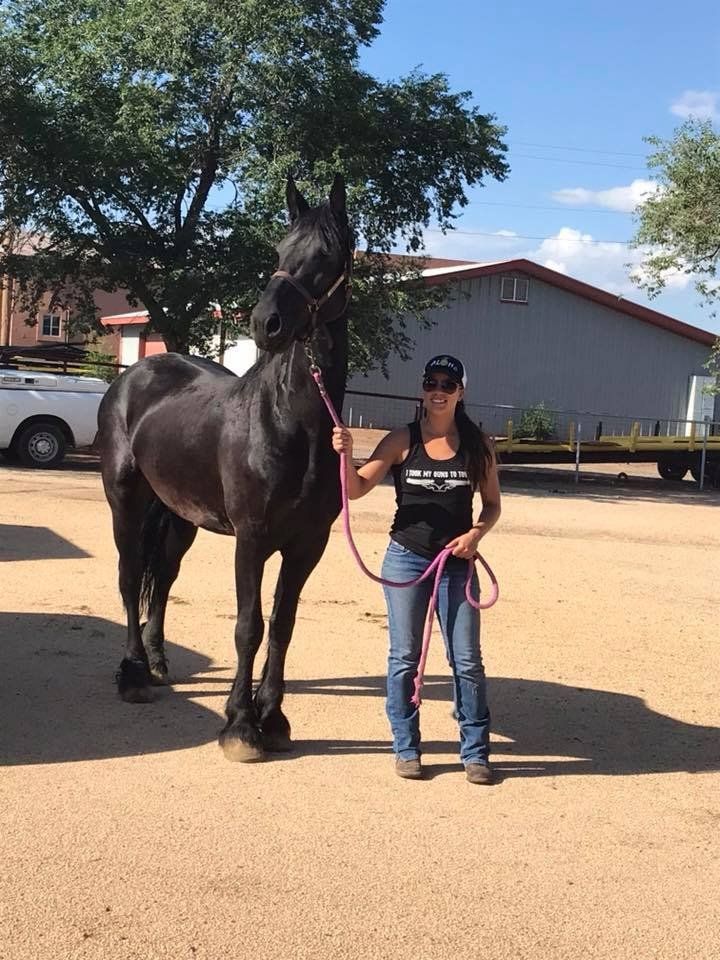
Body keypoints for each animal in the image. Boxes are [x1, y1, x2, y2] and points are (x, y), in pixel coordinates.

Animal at [97, 175, 353, 762]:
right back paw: (134, 674)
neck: (290, 423)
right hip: (125, 500)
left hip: (179, 516)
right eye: (279, 250)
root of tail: (135, 372)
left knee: (163, 577)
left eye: (327, 256)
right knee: (129, 574)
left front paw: (273, 718)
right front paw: (240, 725)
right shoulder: (252, 538)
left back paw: (159, 661)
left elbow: (283, 625)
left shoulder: (308, 544)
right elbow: (248, 627)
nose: (266, 323)